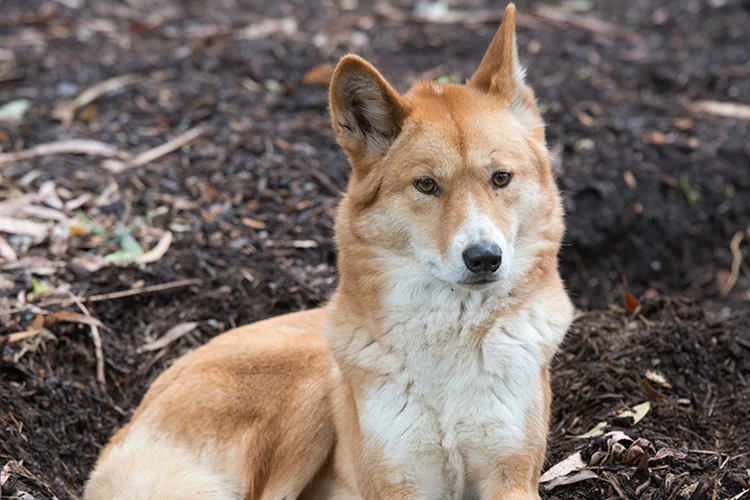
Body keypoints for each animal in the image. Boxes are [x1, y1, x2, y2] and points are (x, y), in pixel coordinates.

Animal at [83, 4, 576, 500]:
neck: (449, 339)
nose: (484, 258)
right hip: (312, 389)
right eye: (426, 185)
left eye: (501, 178)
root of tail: (127, 429)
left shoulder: (510, 475)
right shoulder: (396, 482)